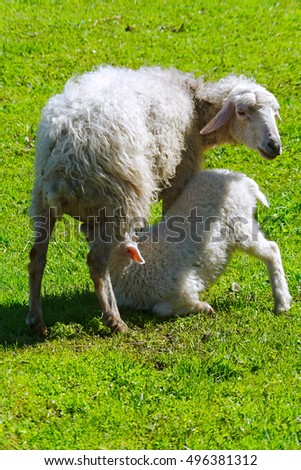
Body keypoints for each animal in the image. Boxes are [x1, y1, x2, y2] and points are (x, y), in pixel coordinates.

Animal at [108, 169, 290, 316]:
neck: (132, 270)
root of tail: (242, 180)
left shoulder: (184, 287)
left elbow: (160, 309)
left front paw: (202, 307)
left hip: (240, 226)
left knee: (272, 250)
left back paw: (282, 303)